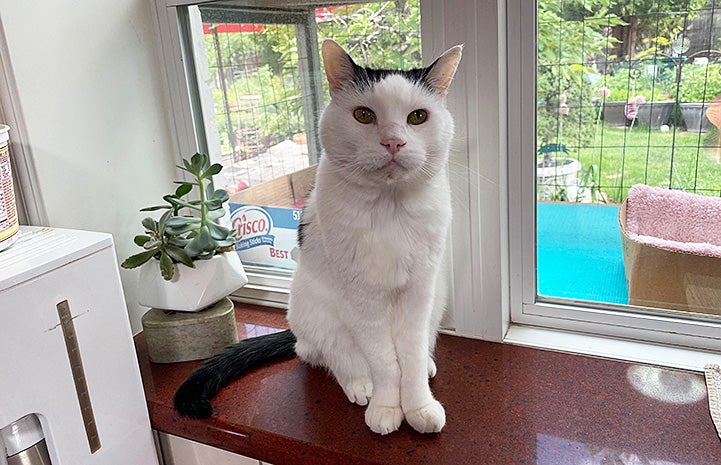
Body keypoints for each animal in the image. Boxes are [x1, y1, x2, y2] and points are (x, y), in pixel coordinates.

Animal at [174, 40, 462, 436]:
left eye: (418, 117)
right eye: (364, 115)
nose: (393, 142)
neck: (389, 208)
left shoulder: (420, 291)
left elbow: (411, 355)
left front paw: (418, 406)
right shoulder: (361, 296)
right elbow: (384, 360)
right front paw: (388, 406)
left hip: (437, 299)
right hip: (315, 309)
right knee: (327, 354)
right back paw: (360, 384)